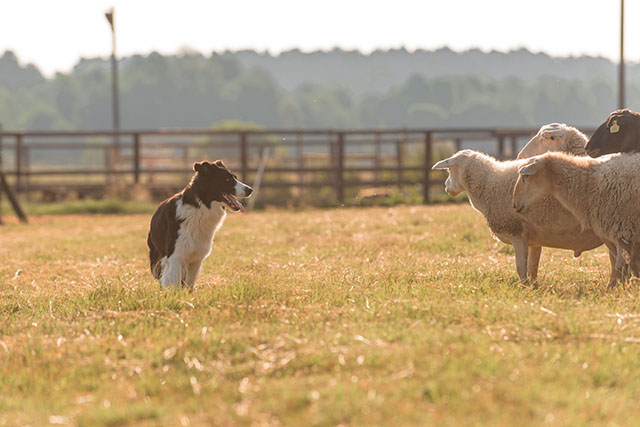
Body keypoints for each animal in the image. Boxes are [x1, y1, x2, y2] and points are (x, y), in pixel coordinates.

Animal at [148, 162, 252, 290]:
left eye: (235, 178)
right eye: (227, 180)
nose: (250, 190)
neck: (200, 207)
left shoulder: (196, 259)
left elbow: (189, 286)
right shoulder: (175, 257)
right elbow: (174, 284)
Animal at [430, 150, 604, 284]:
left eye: (449, 170)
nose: (445, 187)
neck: (489, 185)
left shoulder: (516, 232)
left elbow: (521, 266)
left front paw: (524, 286)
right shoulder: (534, 240)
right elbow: (533, 267)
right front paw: (533, 286)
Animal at [512, 152, 640, 286]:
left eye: (525, 177)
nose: (514, 205)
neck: (588, 184)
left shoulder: (624, 231)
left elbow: (621, 267)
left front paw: (621, 288)